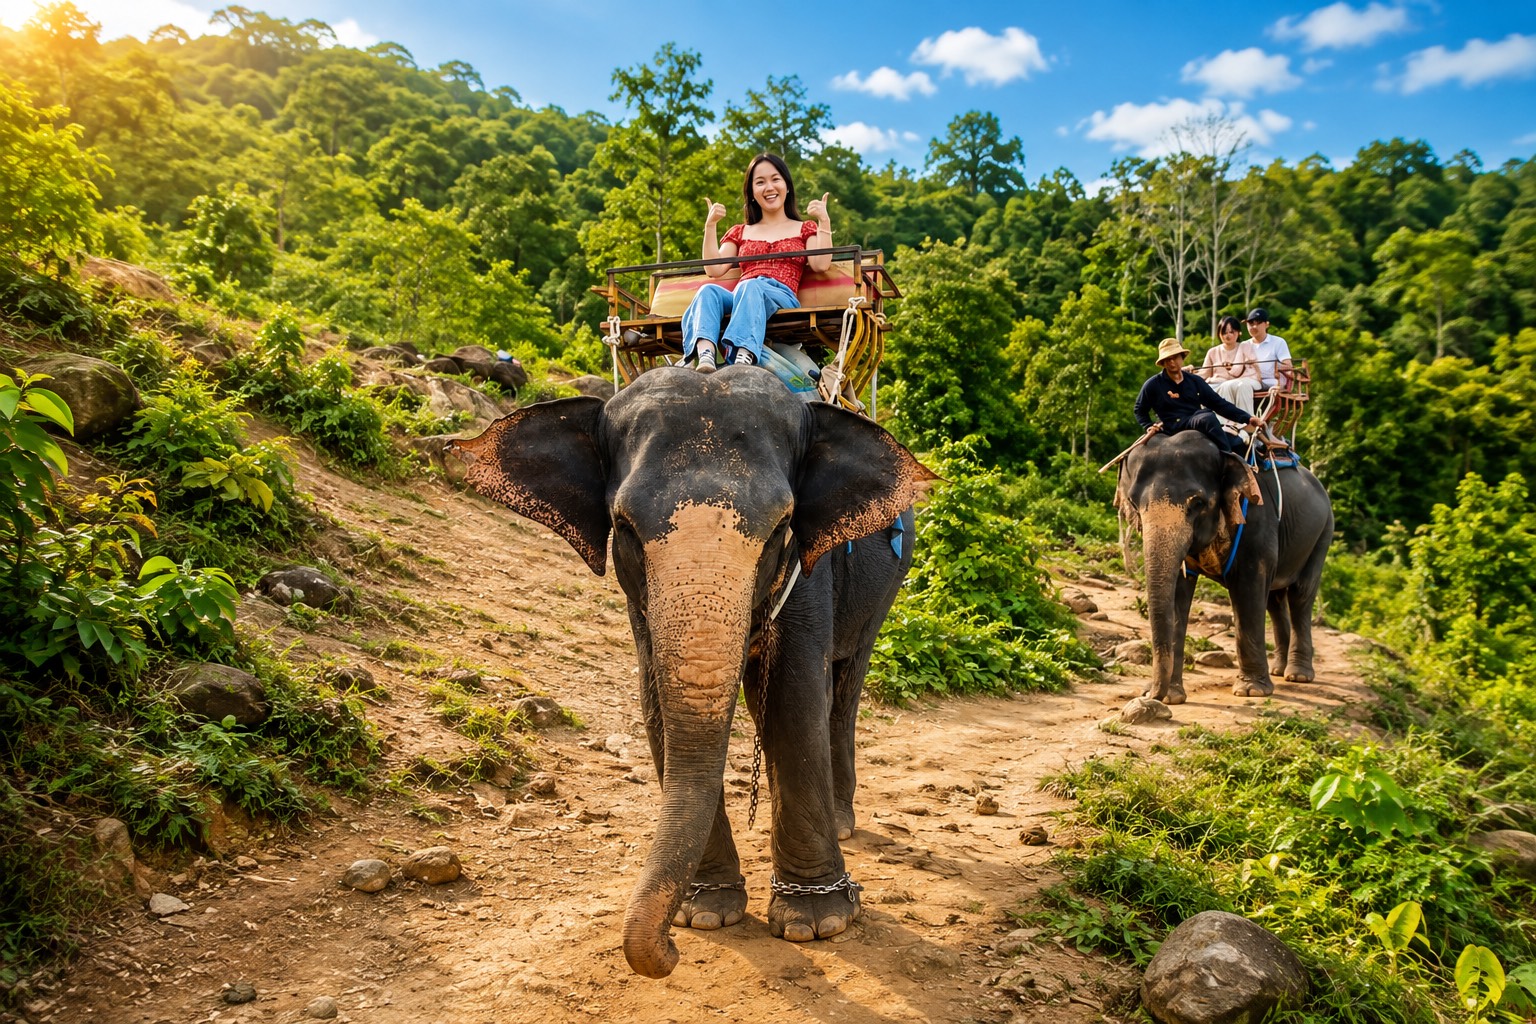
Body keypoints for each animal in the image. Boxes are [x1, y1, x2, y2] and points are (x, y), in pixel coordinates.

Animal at [450, 367, 933, 979]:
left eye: (782, 526)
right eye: (623, 526)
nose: (668, 951)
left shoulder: (811, 570)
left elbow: (794, 698)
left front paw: (816, 924)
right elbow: (655, 698)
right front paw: (704, 913)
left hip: (888, 584)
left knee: (842, 685)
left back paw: (843, 820)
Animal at [1114, 432, 1333, 703]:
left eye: (1197, 502)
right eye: (1133, 504)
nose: (1151, 695)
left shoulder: (1257, 519)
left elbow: (1249, 590)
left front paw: (1251, 691)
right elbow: (1178, 593)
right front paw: (1171, 698)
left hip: (1323, 533)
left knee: (1300, 595)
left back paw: (1298, 675)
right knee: (1274, 599)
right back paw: (1279, 670)